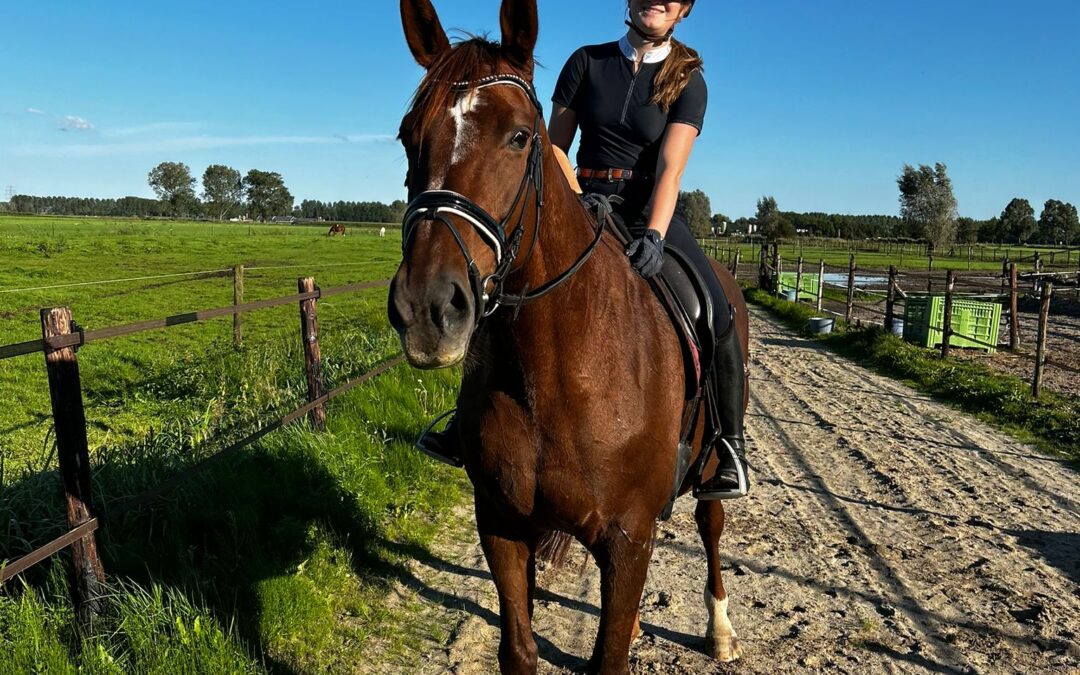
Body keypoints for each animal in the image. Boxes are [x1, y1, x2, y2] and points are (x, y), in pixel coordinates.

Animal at [388, 2, 751, 669]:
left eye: (519, 135)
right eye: (408, 135)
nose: (427, 308)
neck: (559, 369)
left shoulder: (630, 539)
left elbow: (609, 655)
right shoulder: (501, 524)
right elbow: (519, 648)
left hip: (712, 462)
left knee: (711, 530)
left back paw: (719, 630)